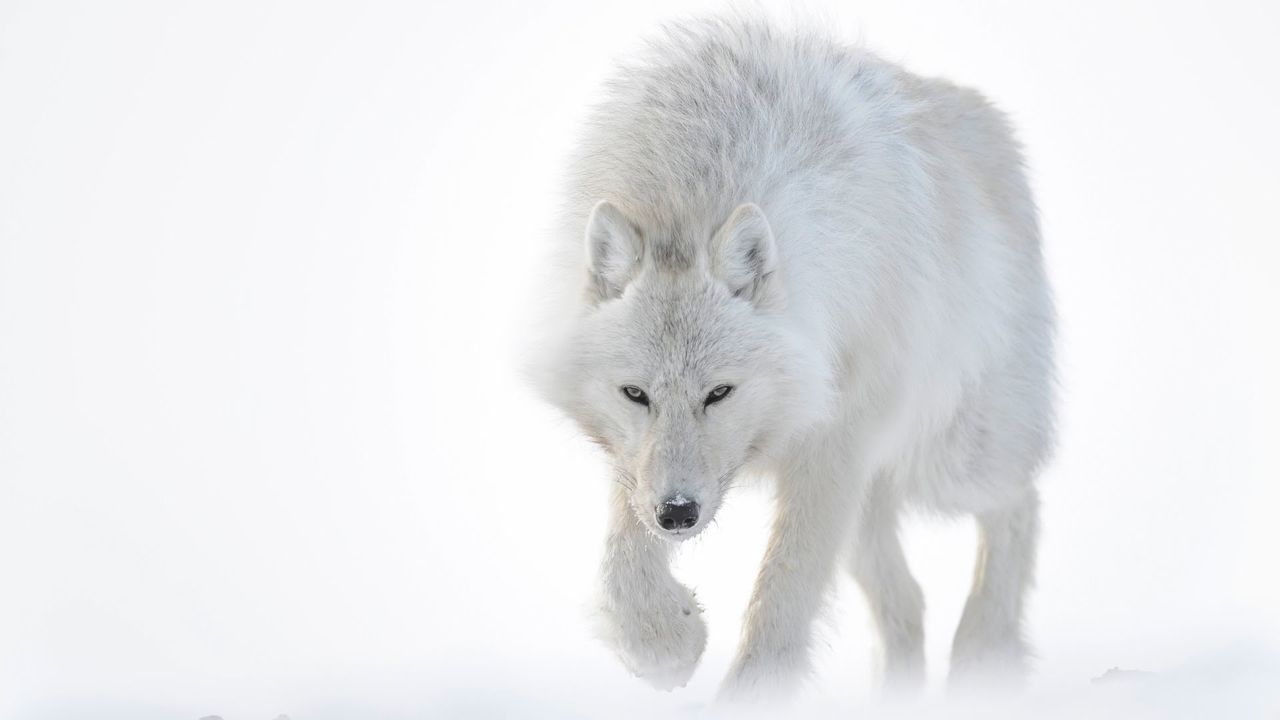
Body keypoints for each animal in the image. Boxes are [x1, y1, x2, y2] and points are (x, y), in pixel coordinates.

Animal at [527, 18, 1049, 702]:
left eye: (719, 393)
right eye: (636, 394)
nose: (678, 514)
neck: (693, 186)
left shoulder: (833, 441)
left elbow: (783, 592)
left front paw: (748, 694)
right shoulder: (638, 462)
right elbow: (623, 558)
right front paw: (665, 643)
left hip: (949, 458)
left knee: (1020, 502)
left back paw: (983, 658)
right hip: (872, 504)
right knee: (908, 603)